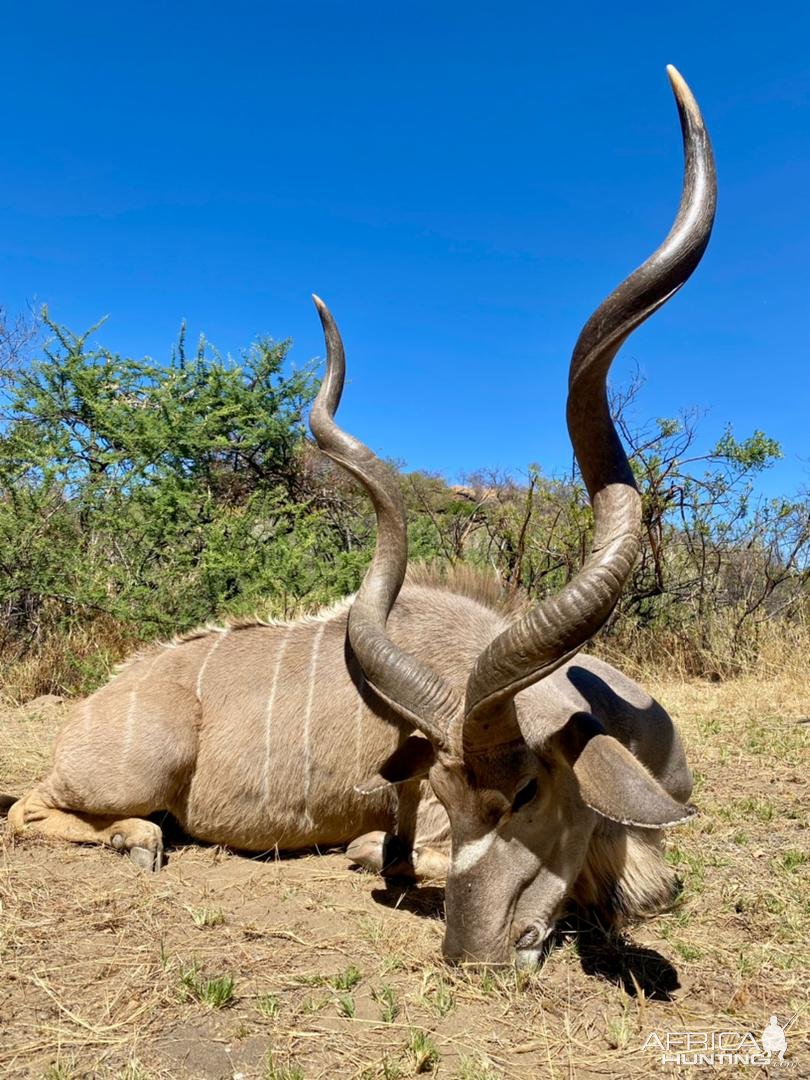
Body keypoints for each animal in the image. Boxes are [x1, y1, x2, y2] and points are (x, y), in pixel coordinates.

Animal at [7, 67, 717, 963]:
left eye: (526, 792)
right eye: (445, 789)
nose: (475, 951)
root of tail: (100, 699)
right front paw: (381, 858)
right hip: (125, 772)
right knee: (30, 810)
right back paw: (138, 838)